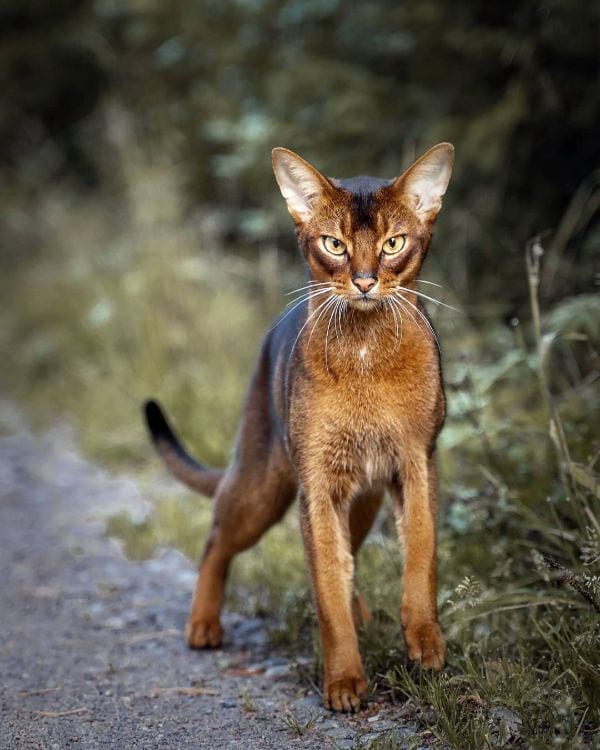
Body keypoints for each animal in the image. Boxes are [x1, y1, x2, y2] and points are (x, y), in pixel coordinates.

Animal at [146, 144, 454, 712]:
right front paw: (345, 682)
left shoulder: (417, 461)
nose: (364, 280)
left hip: (364, 497)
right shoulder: (318, 484)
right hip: (262, 488)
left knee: (349, 553)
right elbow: (326, 586)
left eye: (393, 243)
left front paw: (425, 641)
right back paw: (203, 624)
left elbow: (421, 555)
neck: (366, 355)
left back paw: (363, 614)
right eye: (334, 244)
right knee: (217, 538)